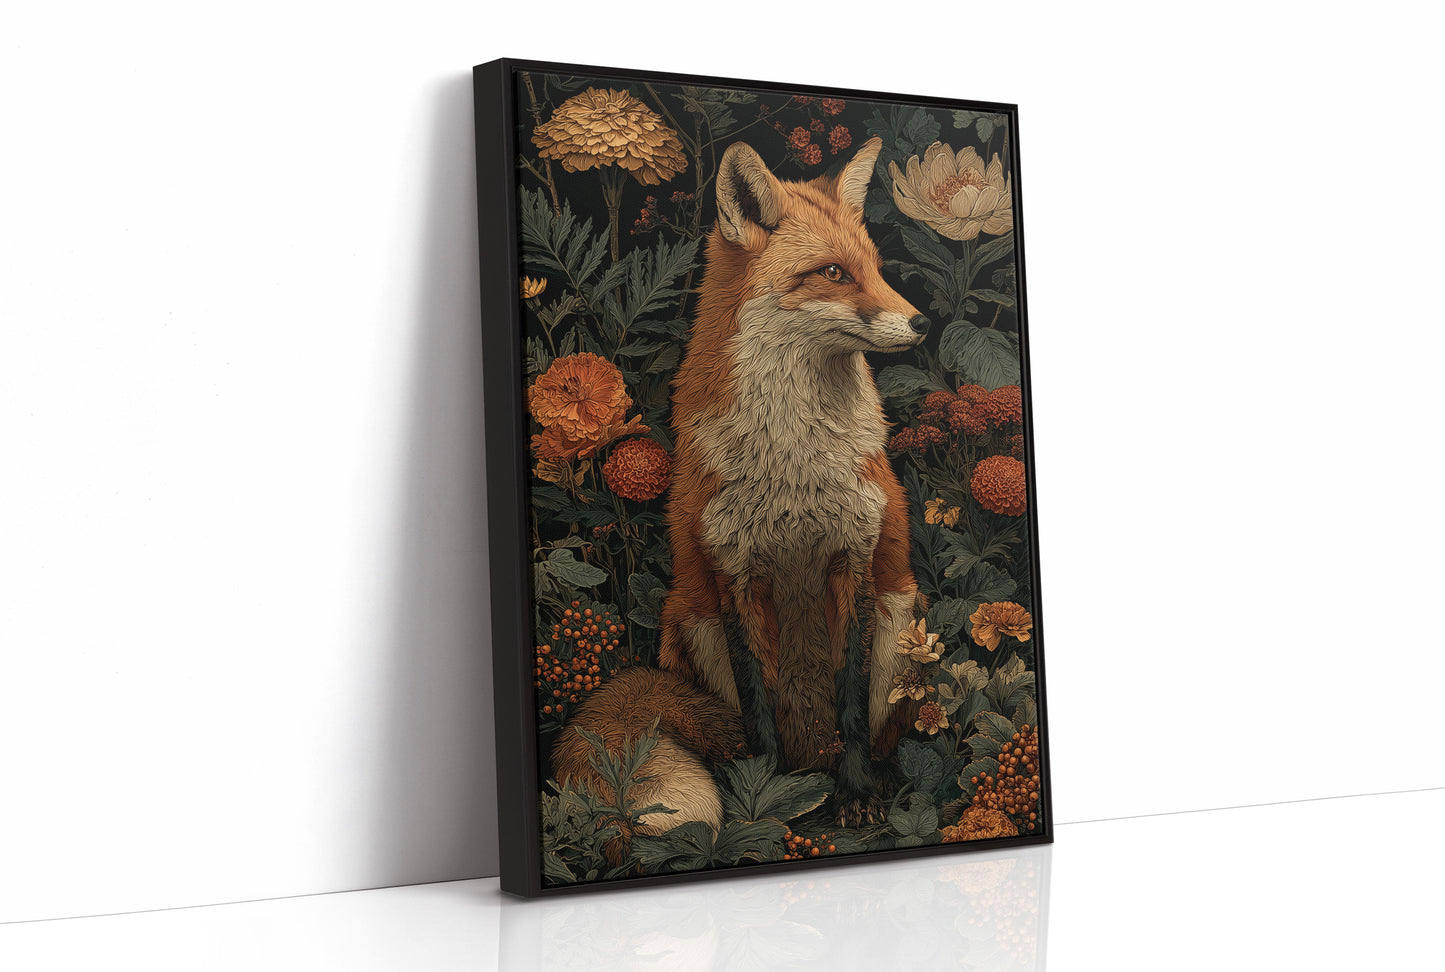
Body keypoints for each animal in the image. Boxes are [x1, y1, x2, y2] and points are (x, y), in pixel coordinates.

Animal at [554, 135, 929, 843]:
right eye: (833, 273)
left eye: (874, 267)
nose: (922, 324)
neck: (793, 464)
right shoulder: (734, 573)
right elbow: (759, 707)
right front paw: (766, 798)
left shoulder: (857, 563)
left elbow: (850, 700)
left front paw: (857, 794)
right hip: (691, 619)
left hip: (901, 618)